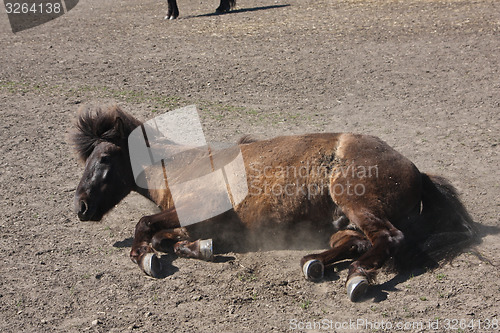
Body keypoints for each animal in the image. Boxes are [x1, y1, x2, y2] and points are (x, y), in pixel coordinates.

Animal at [71, 104, 476, 300]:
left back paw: (356, 276)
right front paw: (201, 247)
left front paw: (148, 258)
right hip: (343, 222)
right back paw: (315, 263)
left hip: (354, 200)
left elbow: (145, 226)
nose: (81, 208)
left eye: (103, 158)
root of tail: (416, 169)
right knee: (358, 242)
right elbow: (165, 235)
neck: (186, 168)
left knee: (388, 239)